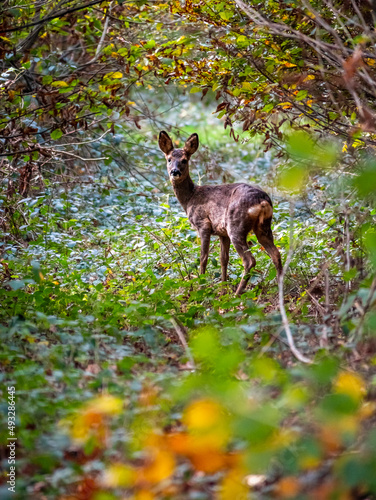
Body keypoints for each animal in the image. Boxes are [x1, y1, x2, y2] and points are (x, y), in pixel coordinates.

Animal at [159, 131, 282, 294]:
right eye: (169, 159)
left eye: (184, 160)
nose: (175, 171)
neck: (190, 198)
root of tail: (262, 201)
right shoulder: (222, 233)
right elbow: (224, 259)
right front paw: (223, 290)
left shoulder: (203, 224)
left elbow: (203, 258)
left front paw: (202, 287)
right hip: (263, 226)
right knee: (276, 254)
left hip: (235, 225)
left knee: (249, 261)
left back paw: (238, 294)